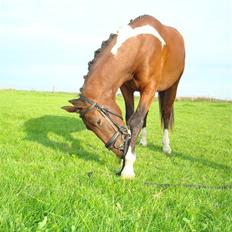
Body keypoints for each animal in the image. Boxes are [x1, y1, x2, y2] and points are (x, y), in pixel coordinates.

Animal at [62, 14, 185, 179]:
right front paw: (126, 157)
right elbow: (130, 119)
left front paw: (128, 167)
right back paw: (143, 142)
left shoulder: (150, 88)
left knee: (165, 114)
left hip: (172, 86)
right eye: (89, 128)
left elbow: (135, 122)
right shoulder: (127, 89)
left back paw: (166, 146)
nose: (119, 152)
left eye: (98, 122)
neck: (141, 47)